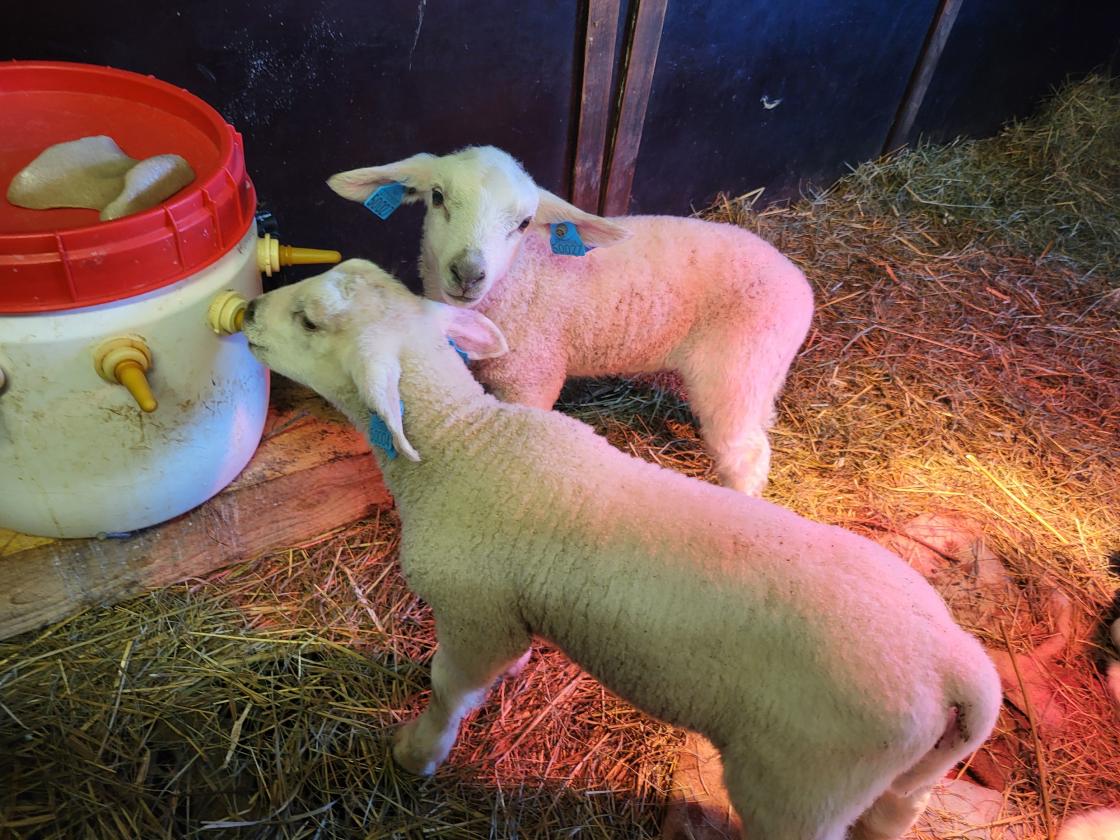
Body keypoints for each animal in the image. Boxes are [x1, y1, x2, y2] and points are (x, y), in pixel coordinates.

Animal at [241, 259, 1002, 840]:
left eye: (311, 322)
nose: (245, 310)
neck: (464, 444)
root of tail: (957, 665)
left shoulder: (474, 612)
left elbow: (450, 690)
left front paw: (417, 753)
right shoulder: (506, 611)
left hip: (803, 788)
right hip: (903, 776)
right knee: (897, 814)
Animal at [326, 146, 814, 496]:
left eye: (524, 223)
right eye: (438, 197)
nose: (468, 273)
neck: (521, 276)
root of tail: (801, 286)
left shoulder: (531, 379)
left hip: (737, 368)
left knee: (746, 456)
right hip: (759, 374)